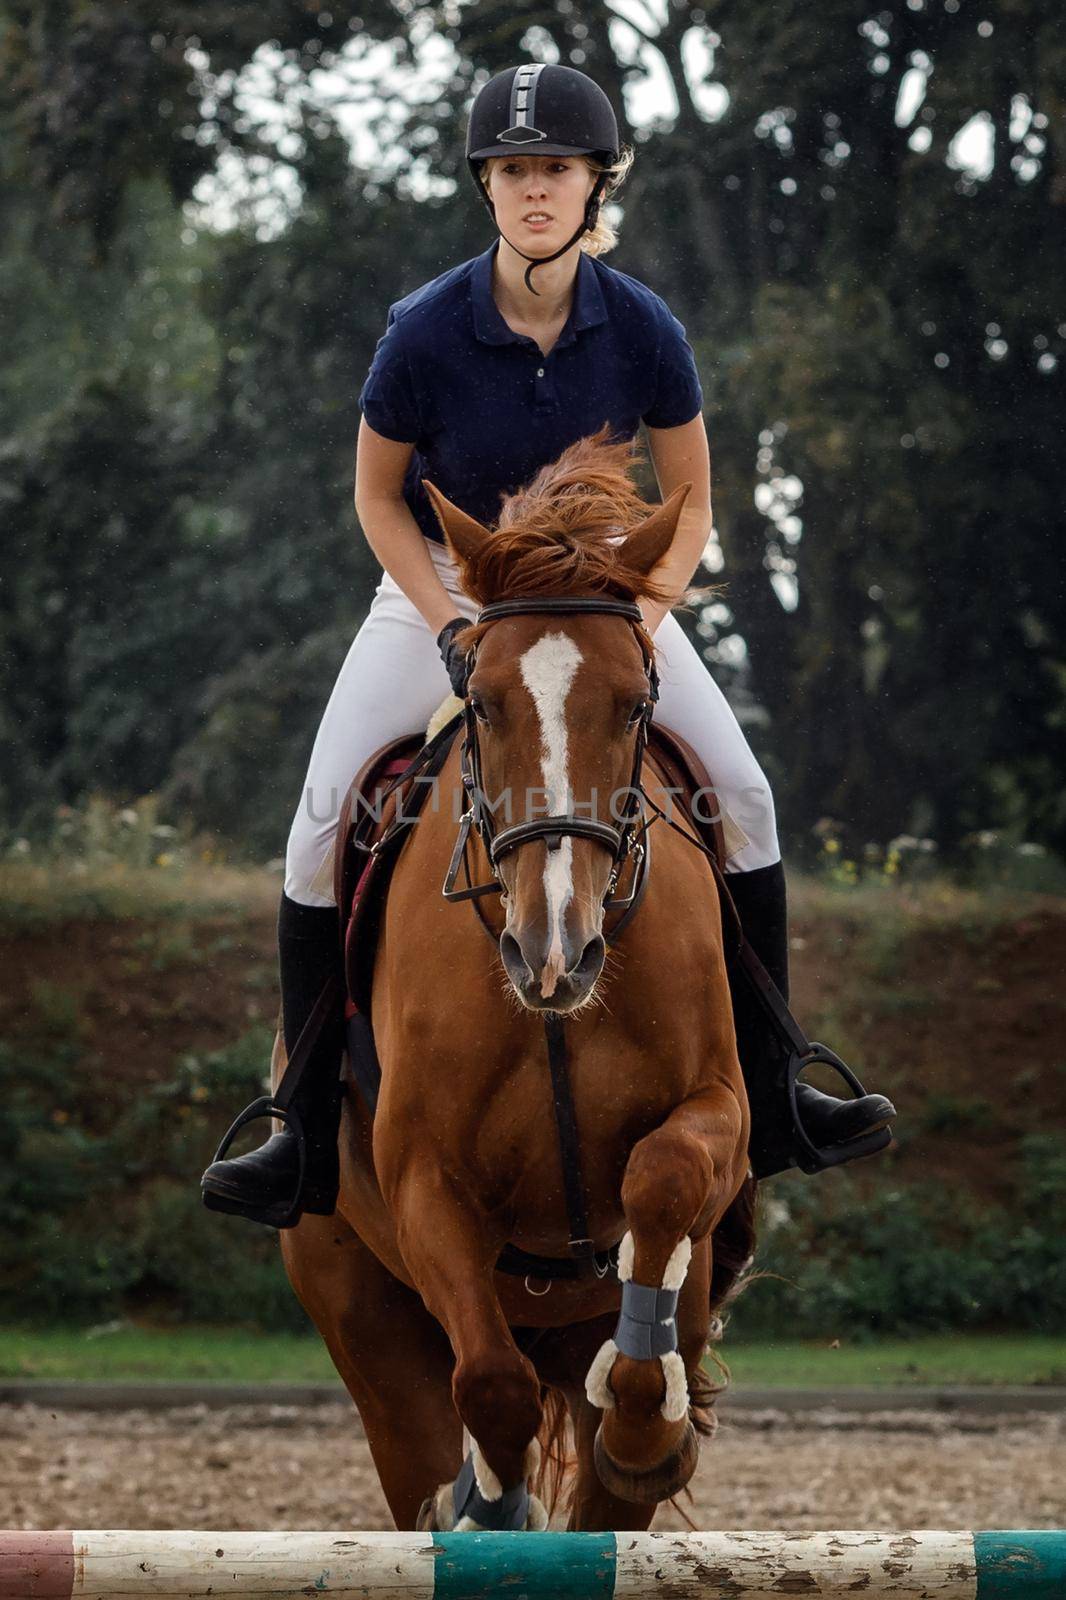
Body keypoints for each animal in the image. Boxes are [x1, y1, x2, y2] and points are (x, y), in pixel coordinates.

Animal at [278, 432, 752, 1529]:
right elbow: (490, 1387)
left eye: (635, 703)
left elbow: (664, 1174)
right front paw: (490, 1506)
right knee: (431, 1426)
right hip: (366, 1327)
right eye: (486, 705)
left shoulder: (720, 1107)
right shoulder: (425, 1181)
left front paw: (644, 1421)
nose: (555, 952)